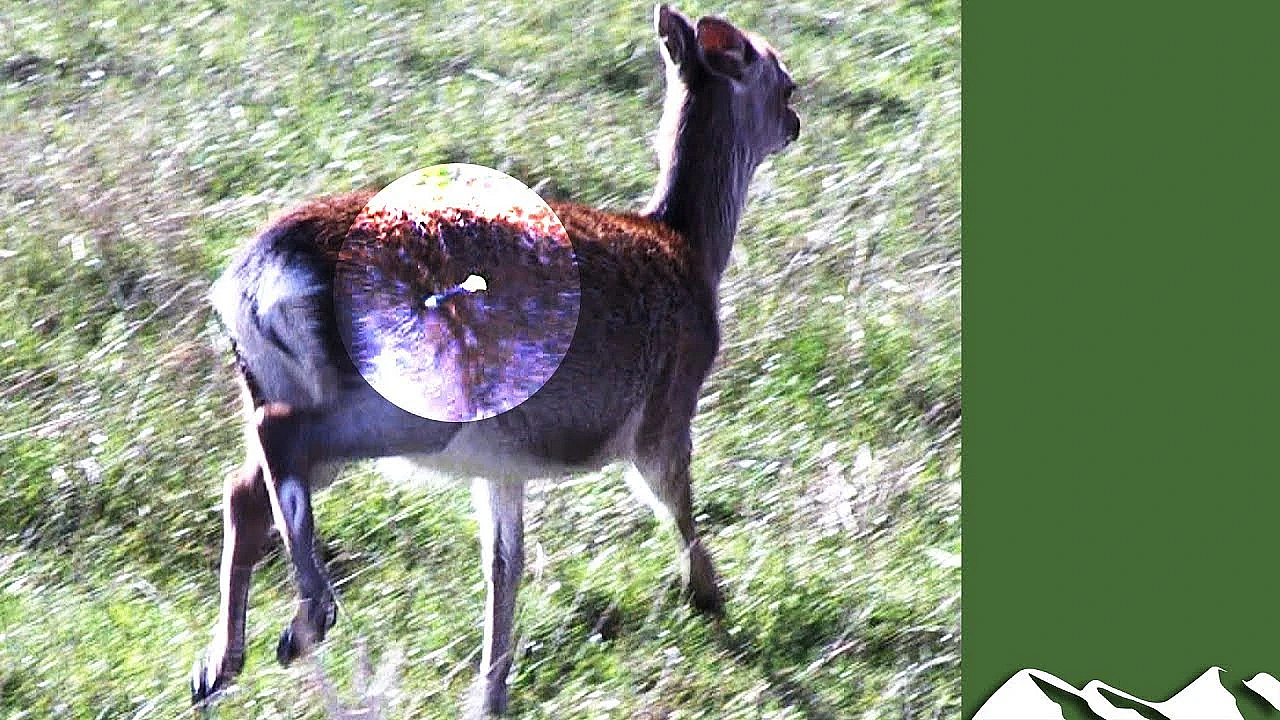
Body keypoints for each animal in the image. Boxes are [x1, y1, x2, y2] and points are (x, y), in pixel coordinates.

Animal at [191, 4, 799, 715]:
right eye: (783, 81)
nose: (796, 123)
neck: (691, 251)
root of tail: (257, 277)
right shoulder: (666, 409)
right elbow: (675, 503)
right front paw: (709, 598)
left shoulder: (503, 466)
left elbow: (504, 564)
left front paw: (490, 693)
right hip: (413, 395)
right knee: (278, 439)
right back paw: (306, 622)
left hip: (276, 382)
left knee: (246, 486)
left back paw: (218, 666)